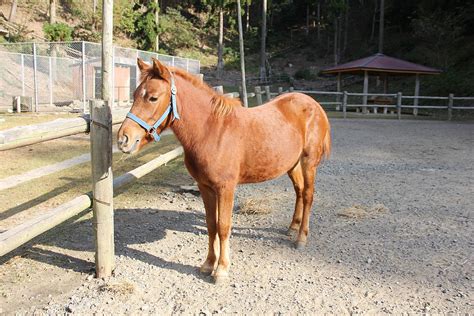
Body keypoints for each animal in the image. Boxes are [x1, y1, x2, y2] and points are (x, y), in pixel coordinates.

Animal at [117, 58, 332, 282]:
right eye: (134, 95)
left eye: (153, 98)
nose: (123, 139)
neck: (212, 131)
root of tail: (314, 104)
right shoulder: (205, 187)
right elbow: (211, 225)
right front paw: (207, 264)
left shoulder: (226, 188)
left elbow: (223, 226)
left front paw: (221, 269)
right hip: (292, 164)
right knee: (299, 191)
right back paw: (292, 228)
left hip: (309, 162)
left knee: (308, 195)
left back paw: (301, 238)